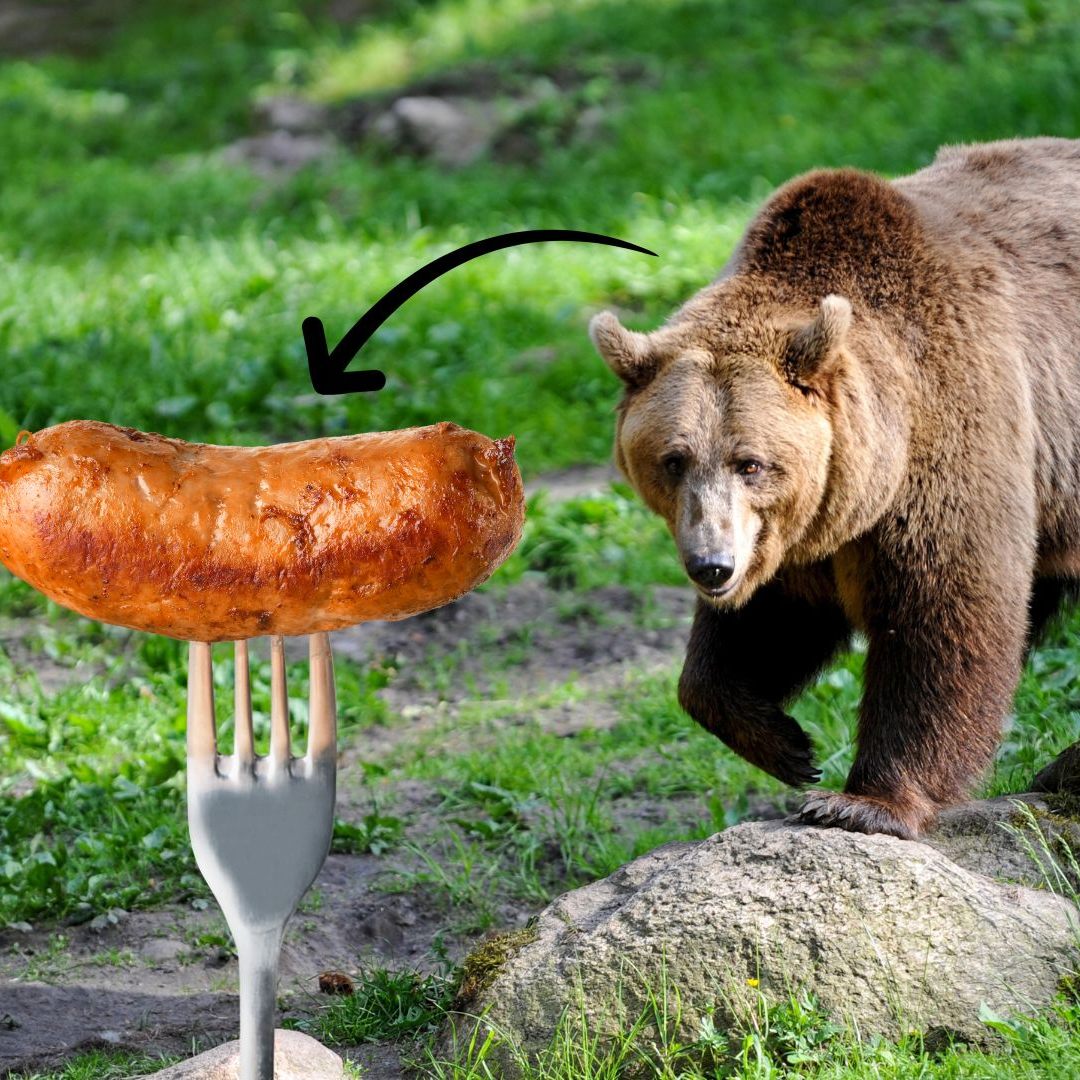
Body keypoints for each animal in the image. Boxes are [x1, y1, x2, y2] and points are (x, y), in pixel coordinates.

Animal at [589, 137, 1080, 839]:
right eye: (674, 460)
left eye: (750, 463)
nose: (711, 565)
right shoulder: (797, 535)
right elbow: (761, 628)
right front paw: (787, 745)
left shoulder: (954, 437)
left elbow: (943, 615)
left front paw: (861, 801)